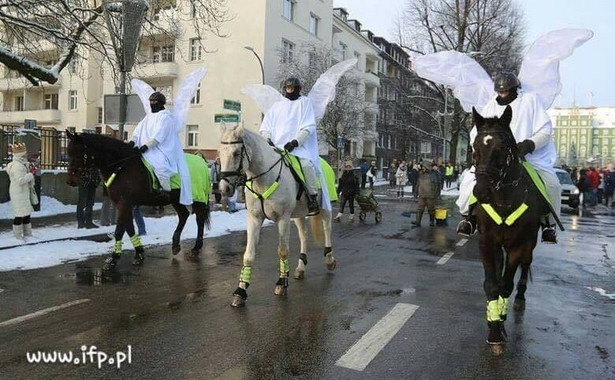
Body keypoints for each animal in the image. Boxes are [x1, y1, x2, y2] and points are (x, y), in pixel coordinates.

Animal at [64, 133, 209, 270]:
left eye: (79, 154)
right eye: (68, 153)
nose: (71, 181)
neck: (122, 167)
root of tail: (202, 161)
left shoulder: (124, 203)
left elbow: (119, 231)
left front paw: (113, 259)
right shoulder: (125, 205)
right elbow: (129, 228)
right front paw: (138, 254)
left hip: (197, 199)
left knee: (200, 219)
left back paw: (196, 248)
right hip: (176, 199)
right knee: (183, 215)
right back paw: (175, 244)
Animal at [219, 123, 340, 308]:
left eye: (236, 153)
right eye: (220, 153)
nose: (224, 188)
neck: (265, 177)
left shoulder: (283, 218)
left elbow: (283, 251)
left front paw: (282, 284)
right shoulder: (254, 219)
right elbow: (248, 255)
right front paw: (240, 291)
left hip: (325, 207)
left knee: (327, 229)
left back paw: (329, 260)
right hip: (298, 214)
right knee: (304, 236)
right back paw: (300, 267)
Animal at [470, 106, 552, 354]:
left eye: (500, 148)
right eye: (474, 147)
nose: (481, 192)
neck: (503, 201)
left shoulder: (519, 245)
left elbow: (506, 285)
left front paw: (500, 325)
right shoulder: (487, 242)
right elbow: (492, 284)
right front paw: (494, 325)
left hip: (529, 245)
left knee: (524, 268)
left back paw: (519, 299)